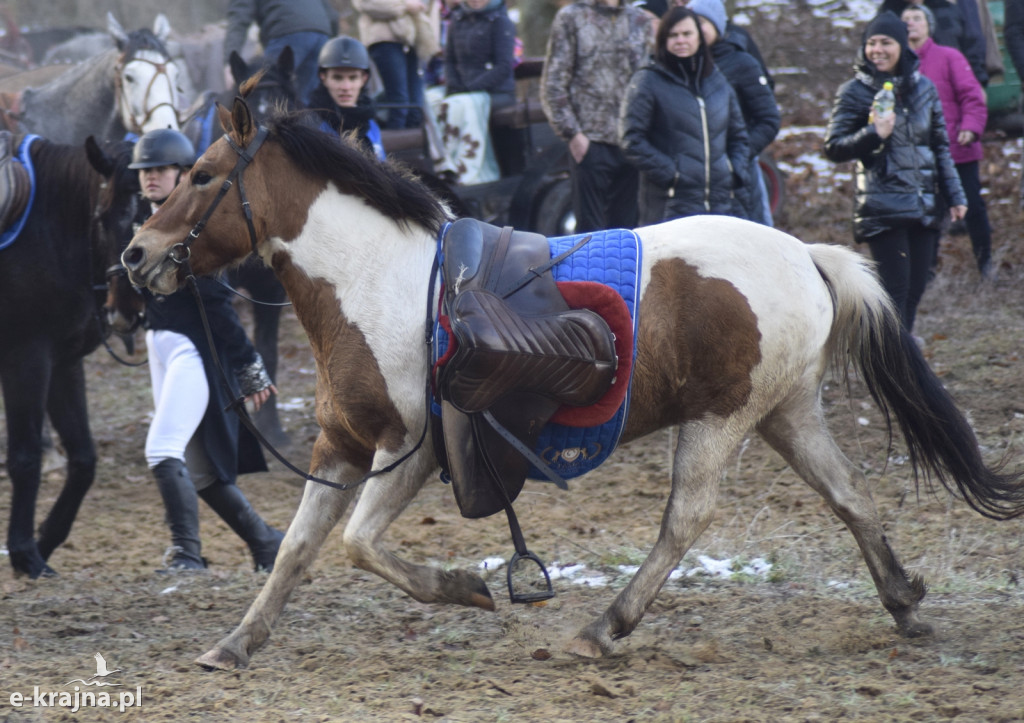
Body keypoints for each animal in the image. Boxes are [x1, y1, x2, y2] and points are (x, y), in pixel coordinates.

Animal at [1, 132, 140, 577]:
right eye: (107, 216)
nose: (126, 308)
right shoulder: (26, 360)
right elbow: (26, 457)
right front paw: (24, 551)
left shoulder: (64, 364)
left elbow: (84, 459)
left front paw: (45, 539)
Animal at [121, 98, 1024, 667]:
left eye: (202, 176)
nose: (134, 253)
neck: (380, 281)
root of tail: (804, 253)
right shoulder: (340, 444)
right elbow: (299, 550)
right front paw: (236, 644)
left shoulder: (409, 450)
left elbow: (358, 544)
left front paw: (467, 587)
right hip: (785, 412)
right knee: (850, 497)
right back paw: (902, 599)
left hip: (721, 420)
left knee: (685, 519)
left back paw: (604, 625)